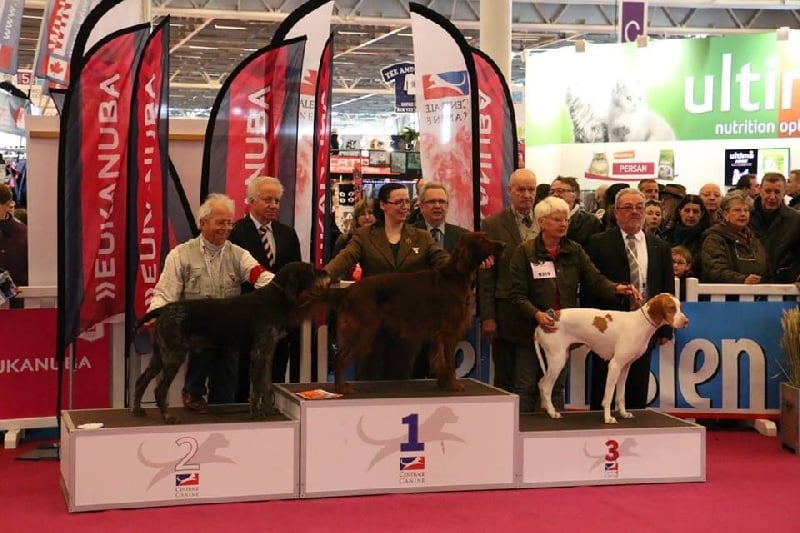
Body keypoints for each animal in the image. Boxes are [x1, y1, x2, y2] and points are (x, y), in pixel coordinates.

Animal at [132, 261, 329, 424]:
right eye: (311, 271)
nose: (326, 272)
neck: (276, 299)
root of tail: (164, 309)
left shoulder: (267, 352)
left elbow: (266, 384)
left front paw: (268, 410)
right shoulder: (259, 352)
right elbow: (256, 387)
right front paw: (256, 413)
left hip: (160, 355)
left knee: (141, 381)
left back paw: (137, 410)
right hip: (174, 355)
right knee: (159, 389)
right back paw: (167, 417)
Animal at [331, 231, 505, 395]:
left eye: (487, 236)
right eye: (481, 241)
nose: (503, 245)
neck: (454, 277)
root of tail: (349, 290)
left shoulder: (439, 335)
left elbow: (441, 360)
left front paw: (443, 384)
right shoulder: (449, 331)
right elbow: (449, 362)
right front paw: (454, 385)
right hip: (363, 331)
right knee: (339, 358)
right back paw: (341, 388)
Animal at [533, 293, 689, 424]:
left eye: (679, 306)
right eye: (671, 307)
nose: (686, 321)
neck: (640, 324)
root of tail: (541, 324)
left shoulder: (625, 367)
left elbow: (620, 395)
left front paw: (623, 413)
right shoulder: (615, 365)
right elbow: (608, 396)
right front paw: (608, 418)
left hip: (561, 357)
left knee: (541, 383)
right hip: (557, 360)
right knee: (545, 386)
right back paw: (552, 412)